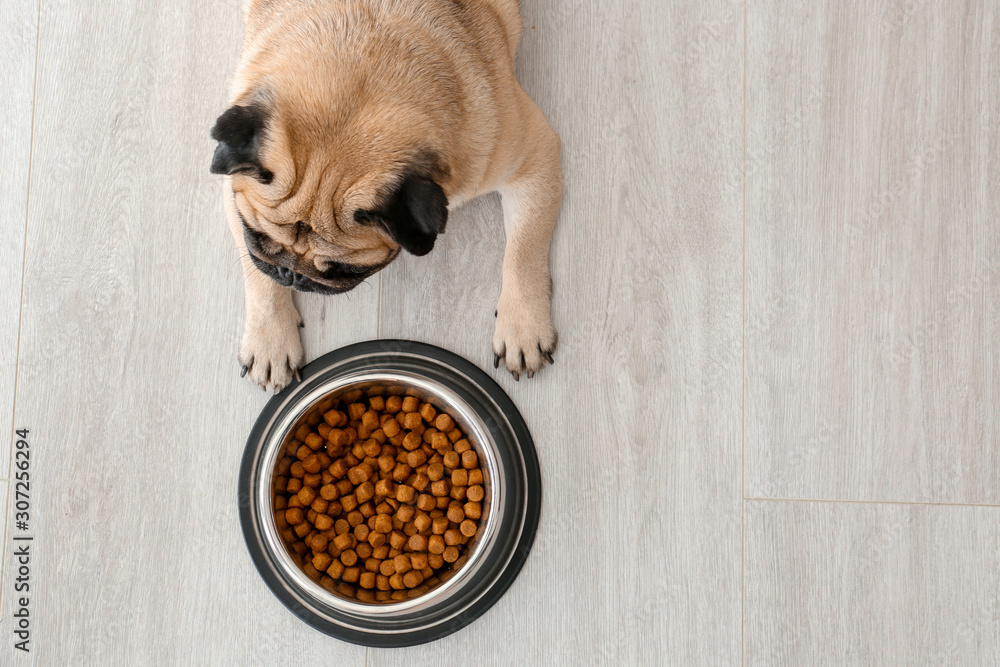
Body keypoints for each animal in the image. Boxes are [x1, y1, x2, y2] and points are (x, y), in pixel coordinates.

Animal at [211, 0, 564, 392]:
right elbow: (255, 273)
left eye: (346, 269)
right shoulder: (233, 191)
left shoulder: (534, 161)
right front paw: (269, 341)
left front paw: (523, 328)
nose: (291, 274)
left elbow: (523, 251)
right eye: (254, 235)